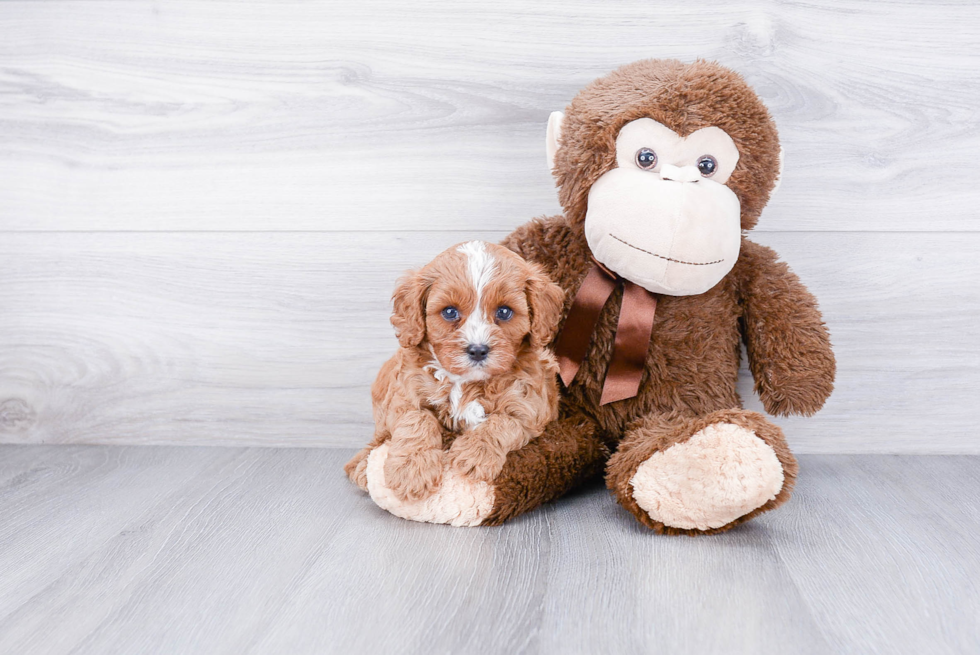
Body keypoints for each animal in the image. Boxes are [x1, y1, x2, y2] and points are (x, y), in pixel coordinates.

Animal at [344, 241, 564, 502]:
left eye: (504, 312)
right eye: (449, 312)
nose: (478, 350)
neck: (465, 381)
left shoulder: (529, 407)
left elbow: (502, 422)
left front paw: (475, 453)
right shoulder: (404, 395)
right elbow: (416, 420)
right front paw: (412, 470)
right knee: (378, 437)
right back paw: (360, 465)